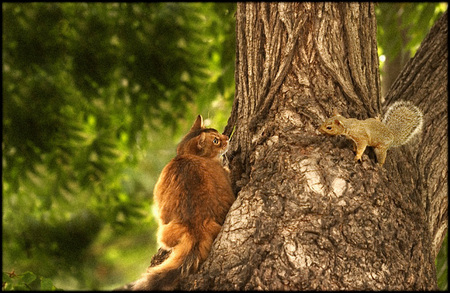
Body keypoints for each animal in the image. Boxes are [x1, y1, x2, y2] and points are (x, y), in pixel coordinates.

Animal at [132, 114, 234, 290]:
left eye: (217, 133)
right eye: (216, 140)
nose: (227, 137)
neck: (185, 155)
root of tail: (197, 228)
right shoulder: (224, 172)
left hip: (163, 232)